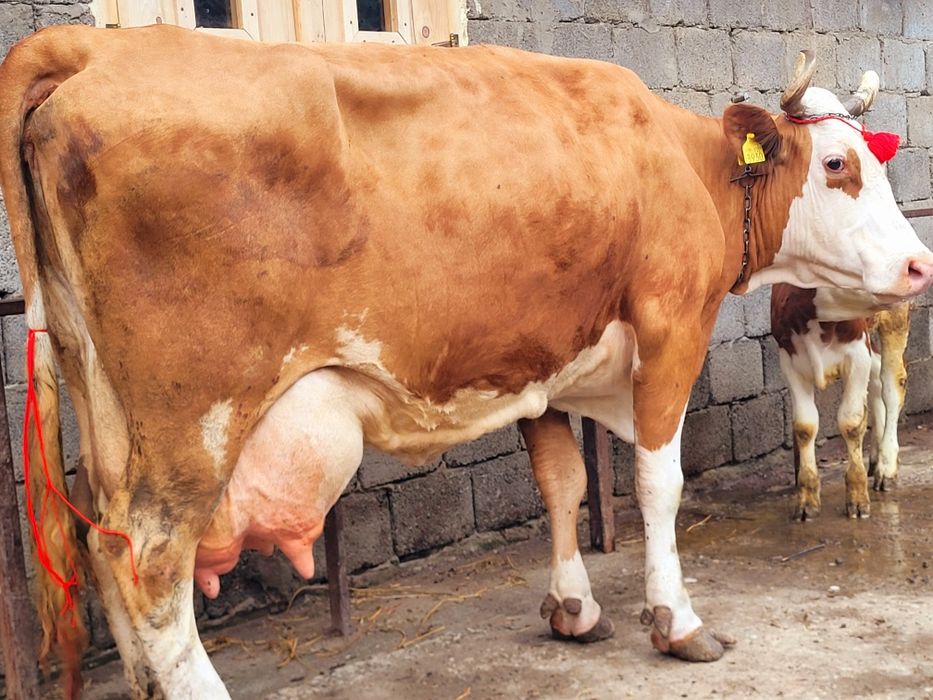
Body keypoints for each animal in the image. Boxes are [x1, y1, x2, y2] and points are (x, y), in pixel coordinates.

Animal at [772, 284, 910, 520]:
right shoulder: (789, 360)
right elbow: (804, 426)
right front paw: (807, 500)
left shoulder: (858, 353)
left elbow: (851, 423)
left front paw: (857, 498)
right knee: (876, 378)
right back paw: (875, 458)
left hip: (895, 319)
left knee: (892, 385)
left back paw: (886, 466)